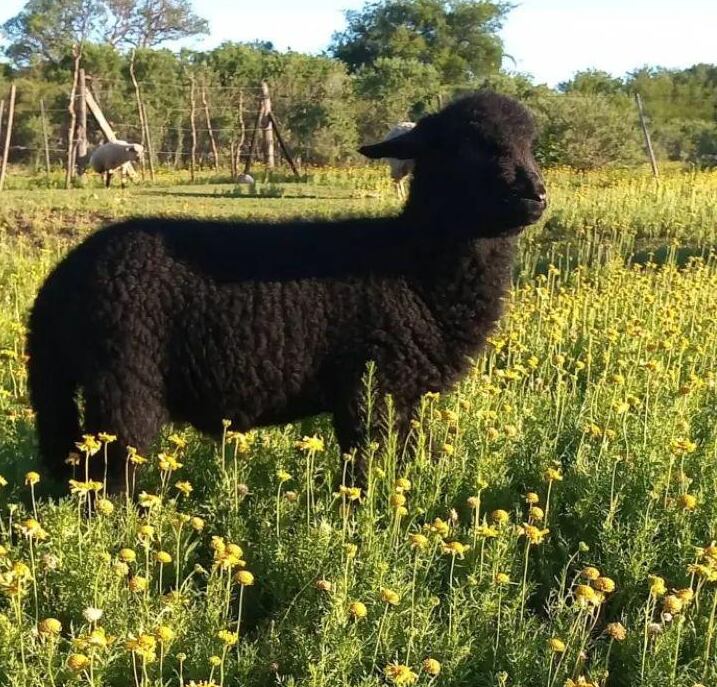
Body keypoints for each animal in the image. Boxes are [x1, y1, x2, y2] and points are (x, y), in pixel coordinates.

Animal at [25, 91, 544, 490]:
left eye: (531, 145)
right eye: (466, 146)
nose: (536, 195)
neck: (411, 265)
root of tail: (60, 280)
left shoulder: (405, 395)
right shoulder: (369, 388)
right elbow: (364, 472)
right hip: (123, 382)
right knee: (109, 477)